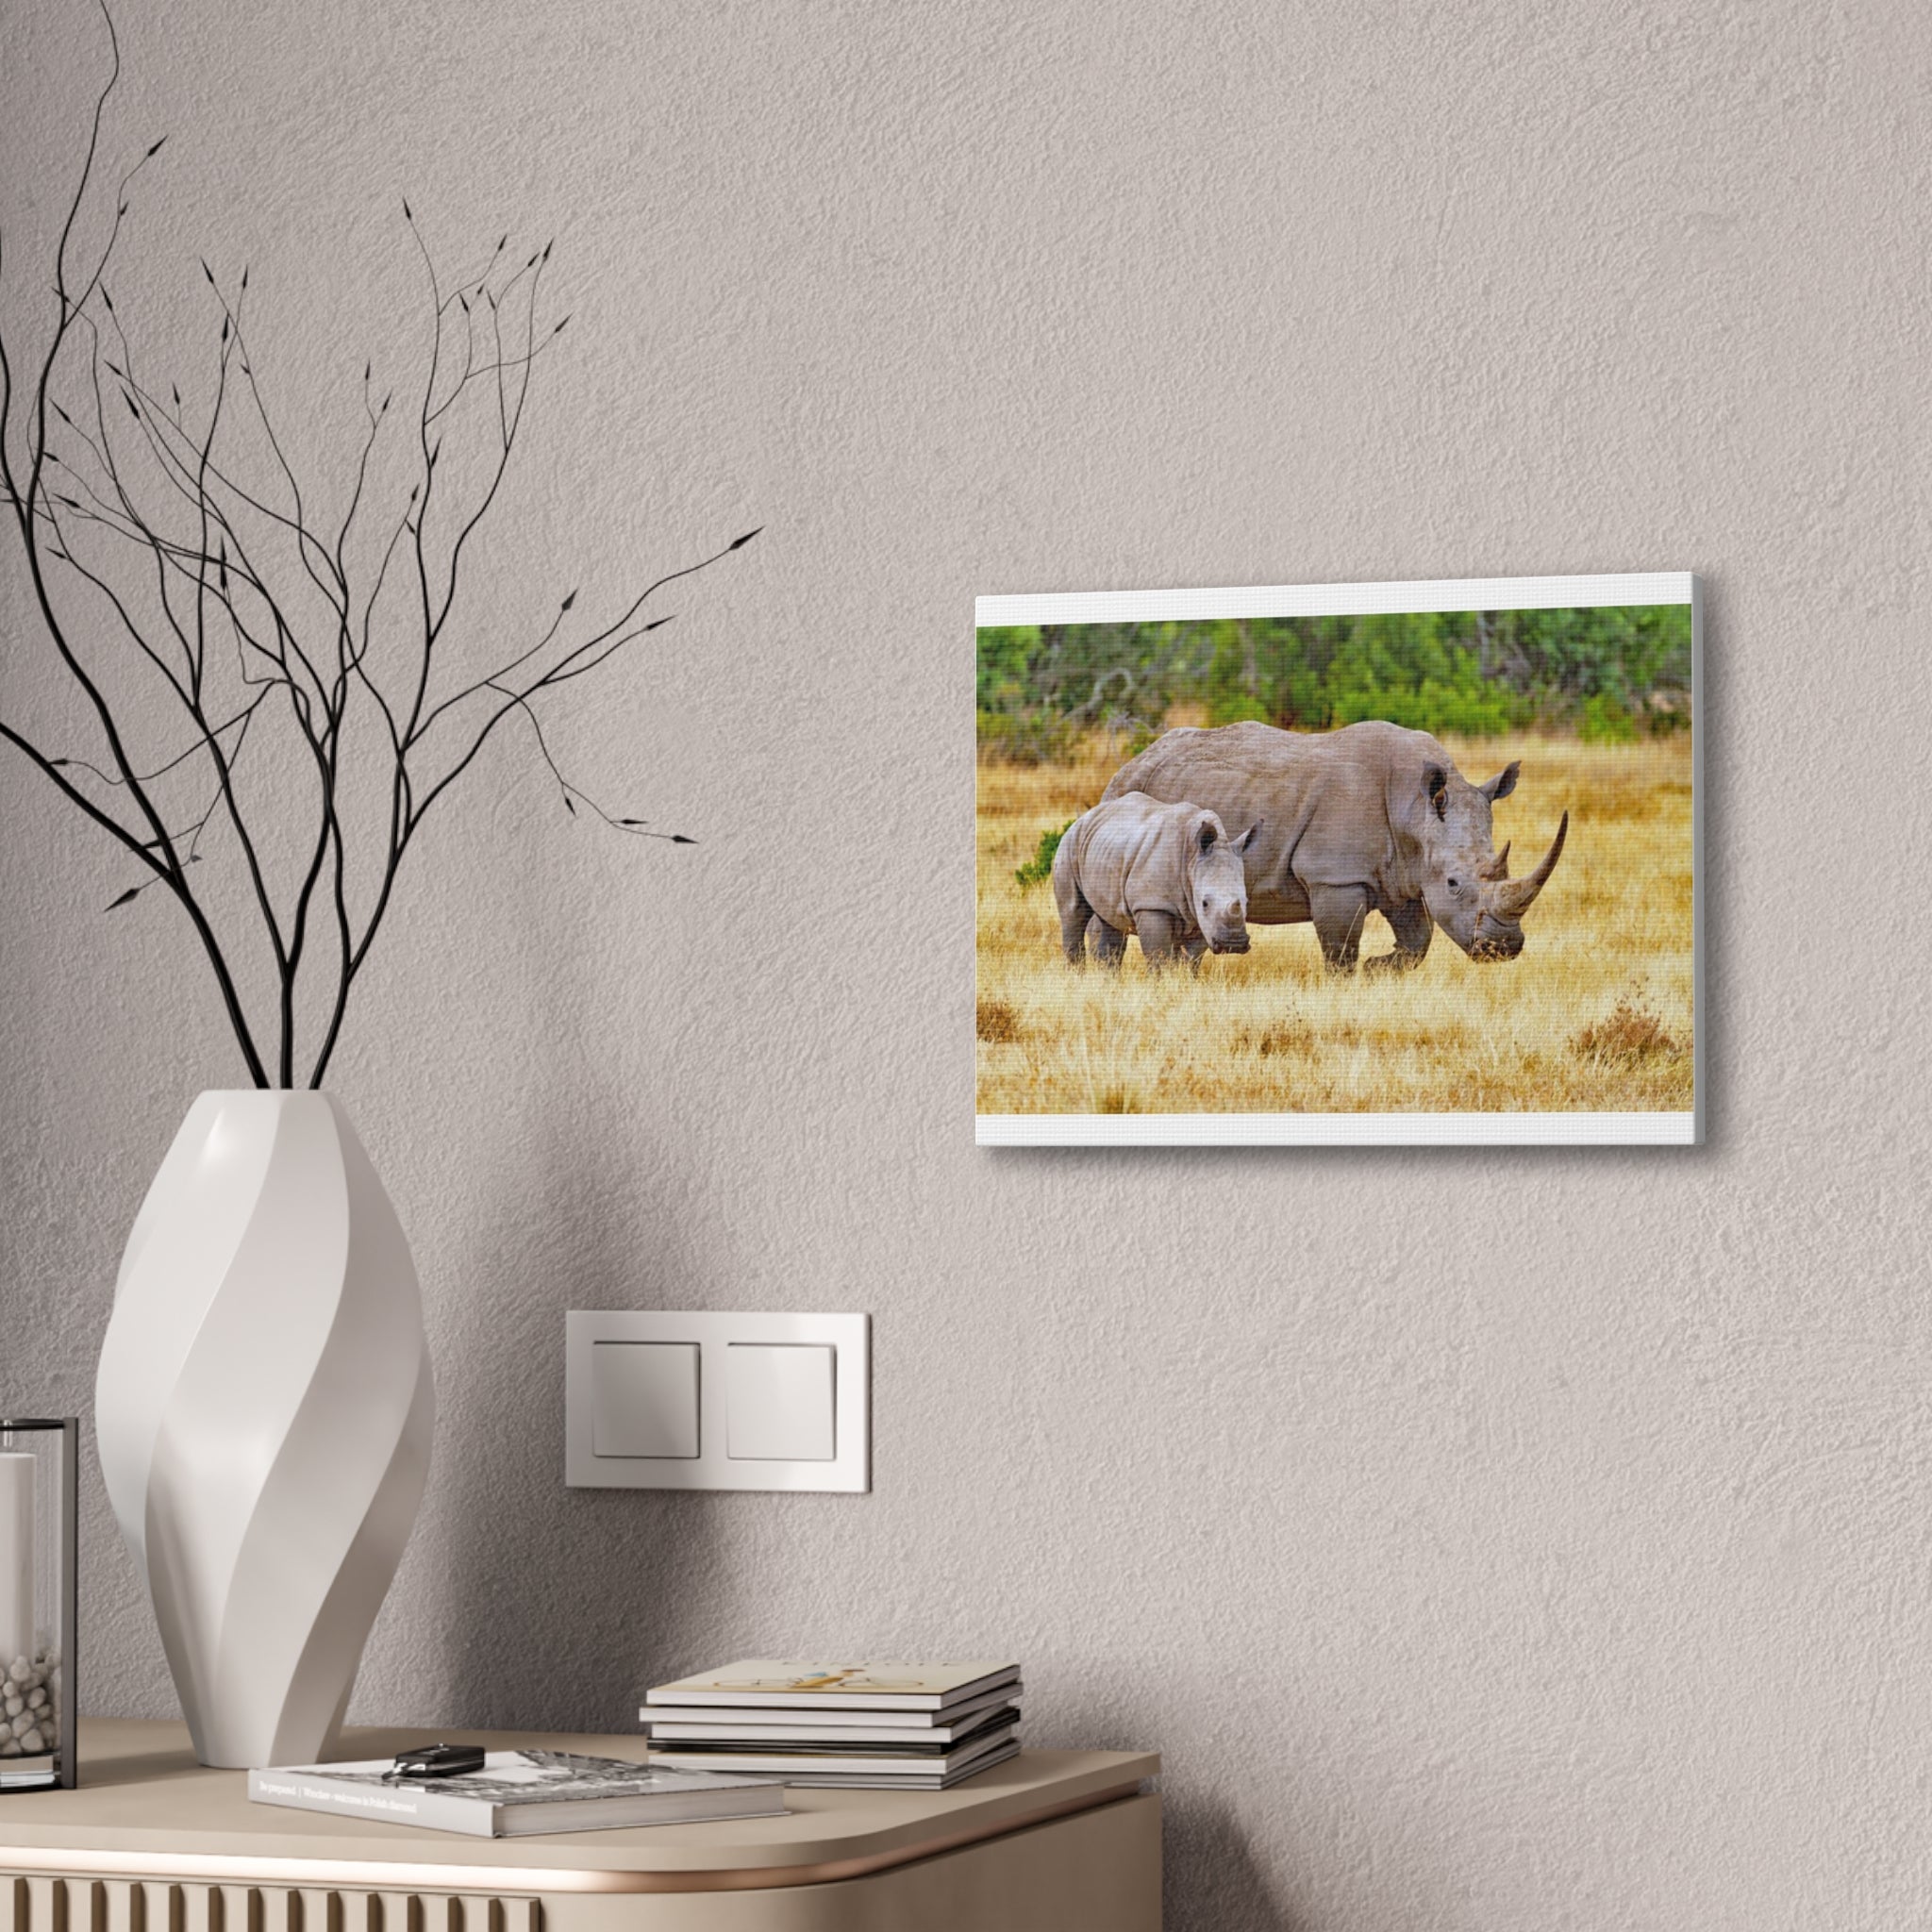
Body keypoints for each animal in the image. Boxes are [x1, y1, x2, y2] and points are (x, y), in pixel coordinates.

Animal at [1052, 791, 1258, 968]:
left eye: (1246, 901)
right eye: (1205, 903)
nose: (1233, 944)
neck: (1191, 857)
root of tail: (1084, 817)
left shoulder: (1199, 915)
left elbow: (1191, 959)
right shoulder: (1152, 904)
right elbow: (1158, 956)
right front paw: (1160, 983)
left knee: (1111, 922)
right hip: (1070, 843)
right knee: (1074, 913)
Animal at [1101, 719, 1567, 971]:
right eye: (1454, 884)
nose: (1503, 948)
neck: (1414, 809)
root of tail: (1133, 759)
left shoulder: (1400, 874)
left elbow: (1418, 941)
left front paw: (1379, 968)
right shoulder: (1336, 877)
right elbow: (1341, 949)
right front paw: (1355, 979)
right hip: (1126, 792)